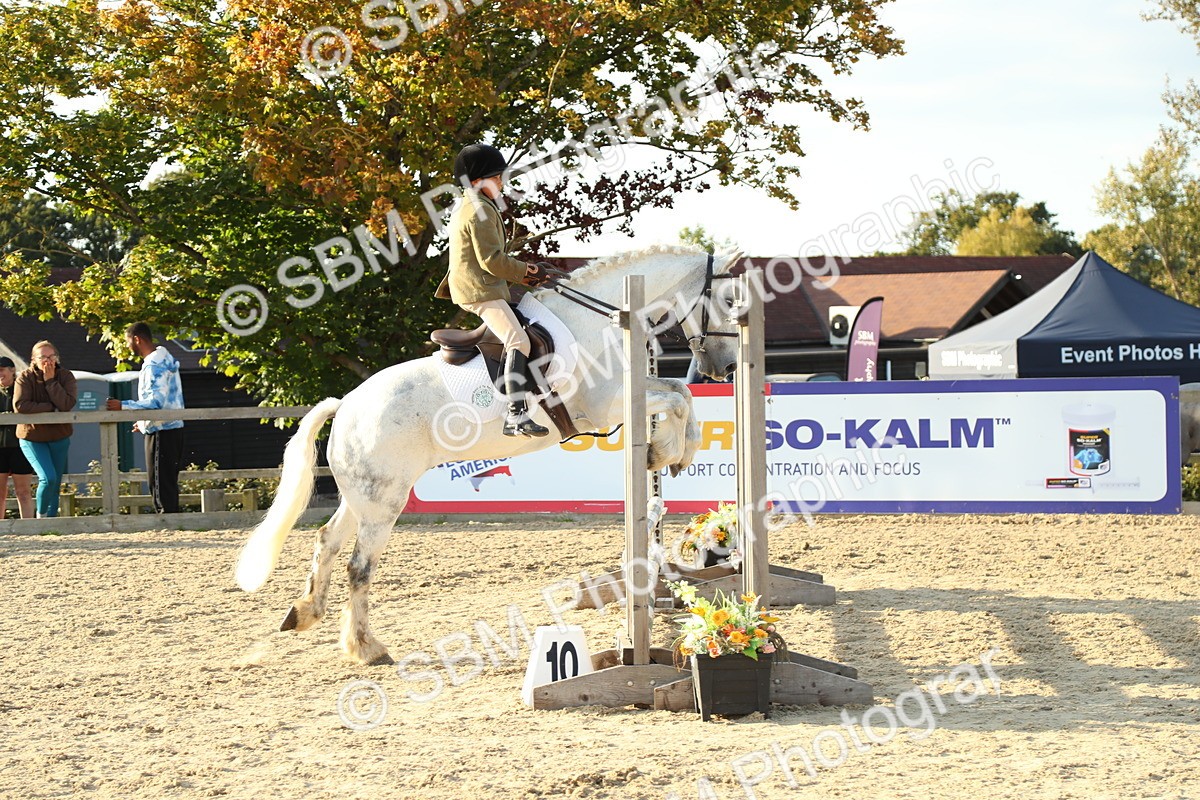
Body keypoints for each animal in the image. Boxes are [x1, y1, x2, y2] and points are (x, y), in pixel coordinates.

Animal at [235, 245, 745, 664]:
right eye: (729, 299)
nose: (726, 368)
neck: (599, 320)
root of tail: (345, 405)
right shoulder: (606, 405)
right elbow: (678, 397)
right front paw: (666, 452)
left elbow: (681, 392)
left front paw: (671, 453)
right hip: (384, 502)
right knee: (359, 566)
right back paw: (366, 648)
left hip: (364, 495)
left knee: (327, 541)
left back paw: (305, 613)